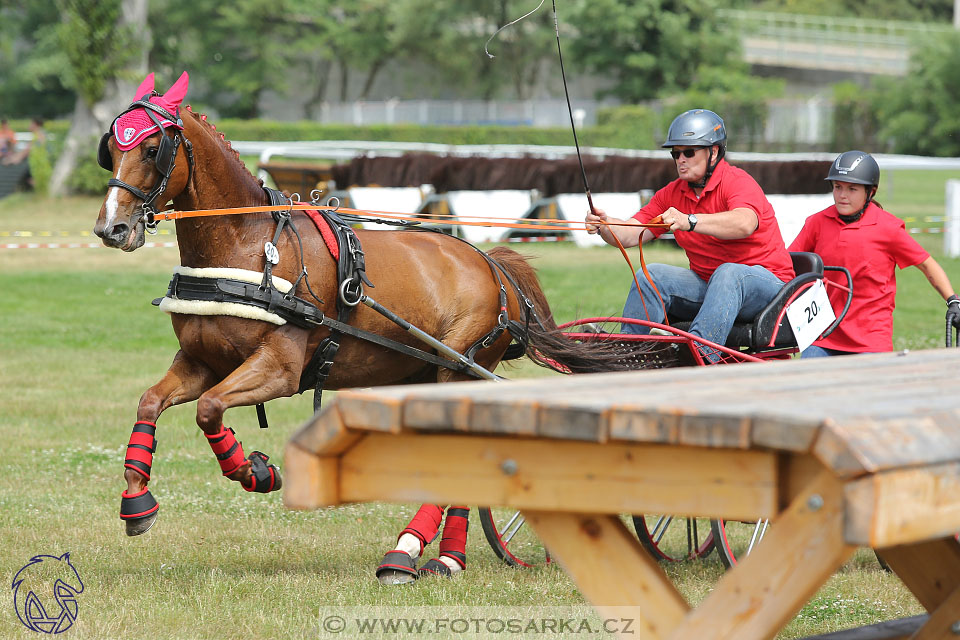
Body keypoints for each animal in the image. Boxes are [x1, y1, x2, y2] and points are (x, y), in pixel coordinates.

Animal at [94, 74, 624, 580]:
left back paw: (410, 553)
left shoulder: (278, 369)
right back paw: (445, 557)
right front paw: (137, 499)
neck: (248, 244)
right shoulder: (202, 361)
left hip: (459, 367)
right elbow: (152, 402)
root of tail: (493, 265)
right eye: (111, 149)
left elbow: (209, 408)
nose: (111, 228)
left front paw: (254, 471)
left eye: (151, 148)